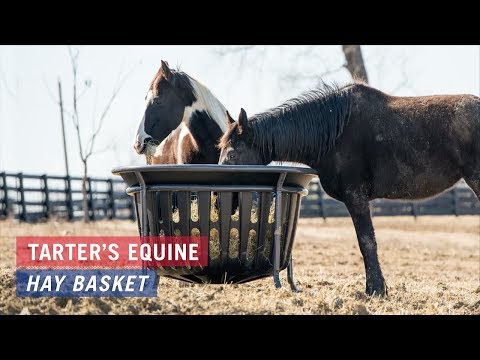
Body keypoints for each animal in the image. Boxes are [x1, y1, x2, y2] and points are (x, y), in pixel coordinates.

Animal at [220, 81, 480, 296]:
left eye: (232, 154)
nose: (223, 199)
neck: (335, 133)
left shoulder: (356, 197)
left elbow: (367, 242)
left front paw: (376, 290)